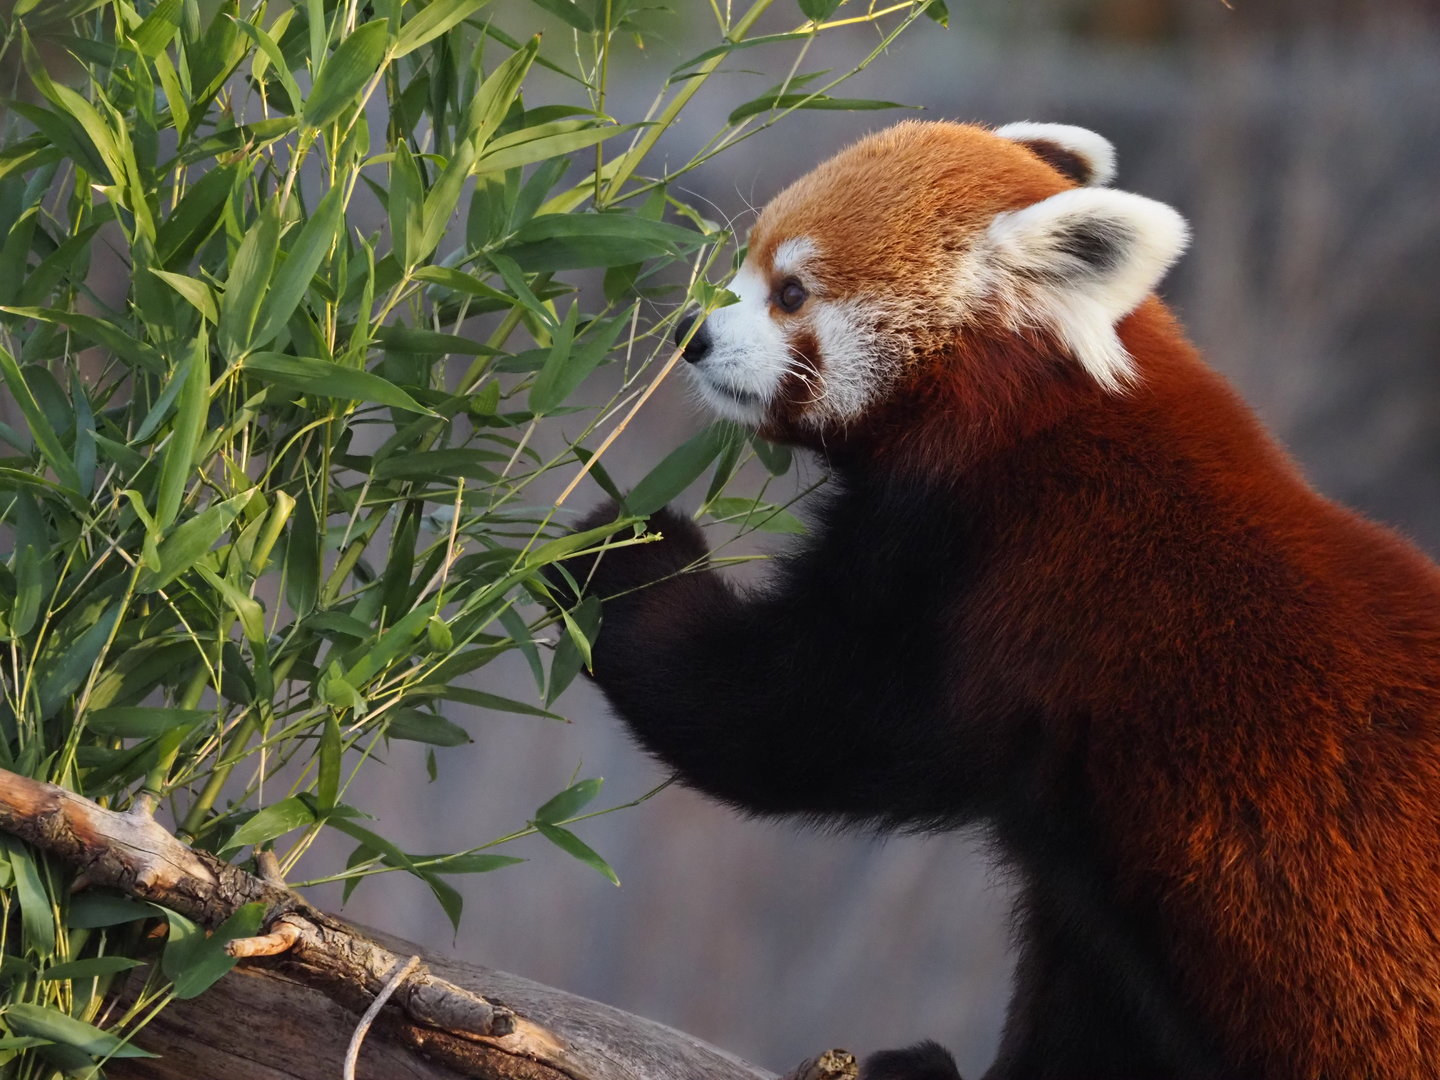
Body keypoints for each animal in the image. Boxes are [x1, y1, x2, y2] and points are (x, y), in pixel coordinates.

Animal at [556, 121, 1440, 1079]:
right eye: (742, 266)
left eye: (790, 293)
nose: (692, 333)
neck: (1027, 419)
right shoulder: (1086, 870)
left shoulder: (1016, 583)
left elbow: (797, 719)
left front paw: (620, 559)